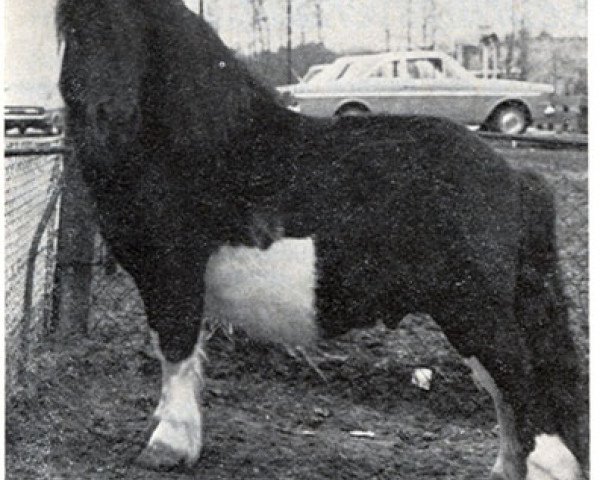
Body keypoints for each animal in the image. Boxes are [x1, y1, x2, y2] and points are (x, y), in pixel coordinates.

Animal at [55, 0, 580, 476]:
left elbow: (176, 351)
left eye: (137, 25)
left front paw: (169, 445)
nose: (106, 114)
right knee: (505, 392)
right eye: (71, 27)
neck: (205, 150)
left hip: (474, 311)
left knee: (525, 387)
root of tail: (514, 177)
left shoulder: (174, 275)